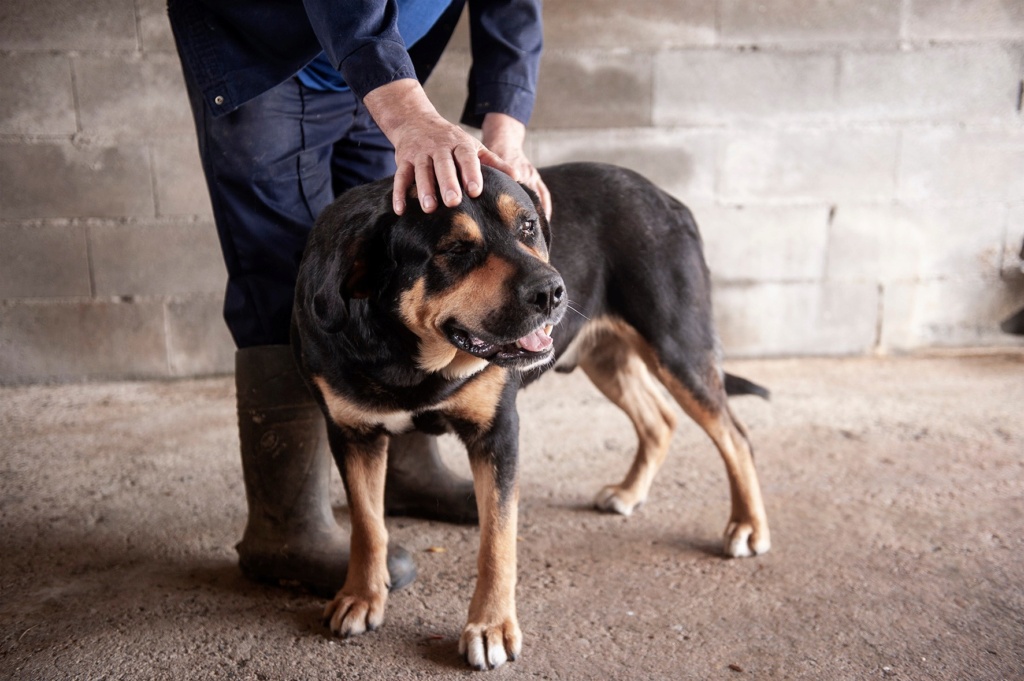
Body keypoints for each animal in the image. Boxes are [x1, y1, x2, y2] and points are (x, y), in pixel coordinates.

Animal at [288, 160, 770, 667]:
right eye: (455, 251)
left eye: (528, 227)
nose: (552, 292)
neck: (409, 357)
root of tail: (665, 196)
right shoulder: (351, 433)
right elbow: (367, 526)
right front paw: (361, 597)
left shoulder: (498, 433)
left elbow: (497, 542)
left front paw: (491, 627)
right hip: (607, 357)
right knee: (660, 419)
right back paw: (630, 491)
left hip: (677, 348)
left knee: (735, 435)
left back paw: (748, 526)